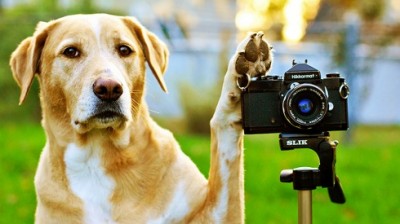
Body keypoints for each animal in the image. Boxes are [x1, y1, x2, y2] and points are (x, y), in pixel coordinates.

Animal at [10, 13, 272, 222]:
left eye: (124, 49)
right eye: (71, 52)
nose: (109, 88)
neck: (97, 157)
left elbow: (224, 151)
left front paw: (243, 69)